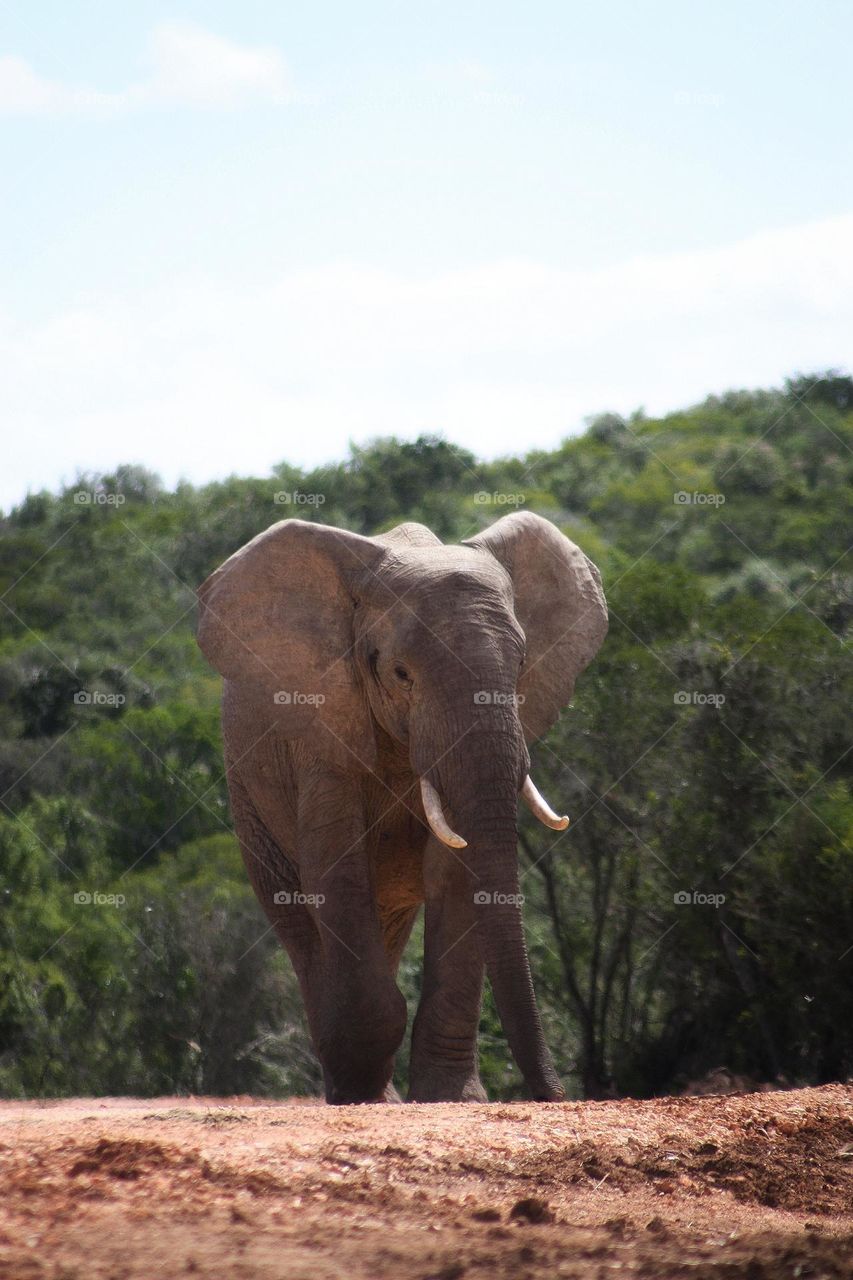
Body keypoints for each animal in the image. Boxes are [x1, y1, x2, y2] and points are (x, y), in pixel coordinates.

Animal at [194, 509, 604, 1100]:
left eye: (523, 663)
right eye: (401, 674)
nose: (556, 1097)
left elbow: (455, 873)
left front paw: (451, 1100)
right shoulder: (322, 736)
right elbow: (335, 872)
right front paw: (361, 1092)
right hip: (249, 801)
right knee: (299, 923)